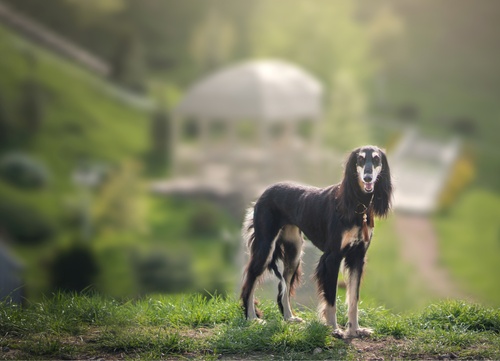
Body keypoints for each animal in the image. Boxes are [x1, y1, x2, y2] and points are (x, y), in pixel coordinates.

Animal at [240, 145, 392, 336]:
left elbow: (353, 299)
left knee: (283, 287)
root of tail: (265, 192)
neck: (357, 204)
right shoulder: (332, 257)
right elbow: (331, 298)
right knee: (250, 280)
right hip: (265, 247)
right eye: (361, 159)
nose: (367, 177)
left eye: (377, 159)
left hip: (294, 252)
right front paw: (334, 329)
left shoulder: (357, 256)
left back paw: (289, 318)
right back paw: (252, 318)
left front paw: (355, 329)